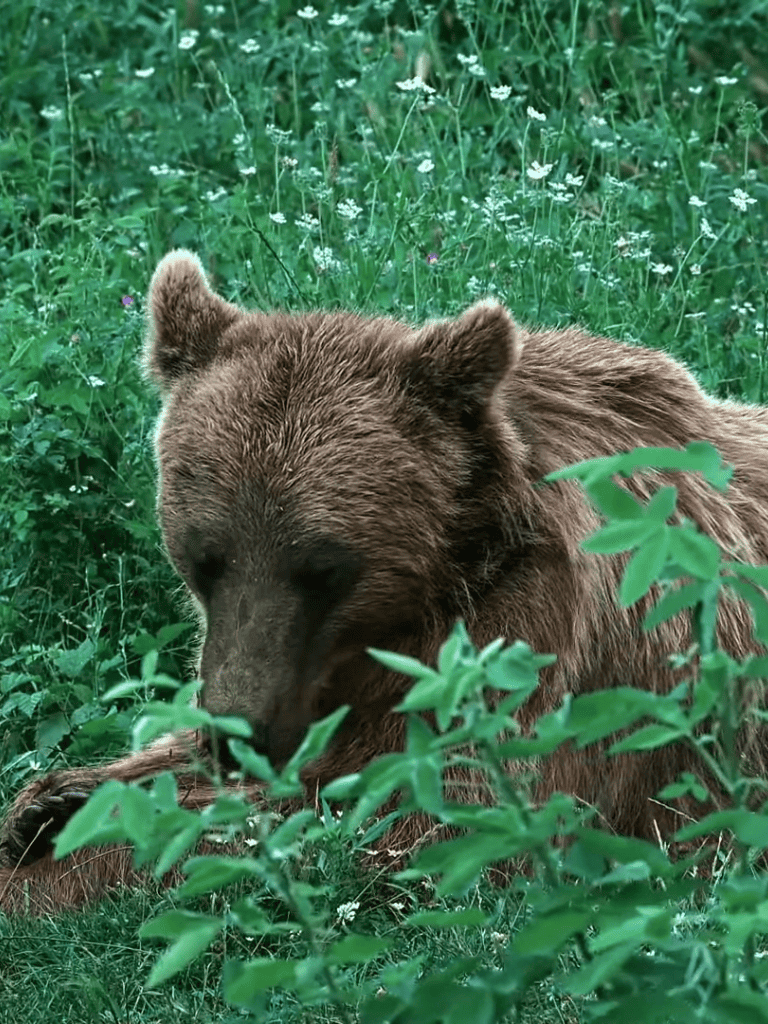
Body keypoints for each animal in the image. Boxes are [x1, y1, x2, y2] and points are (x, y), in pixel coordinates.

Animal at [2, 248, 768, 915]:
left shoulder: (540, 655)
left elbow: (418, 819)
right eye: (203, 557)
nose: (238, 731)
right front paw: (49, 802)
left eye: (322, 567)